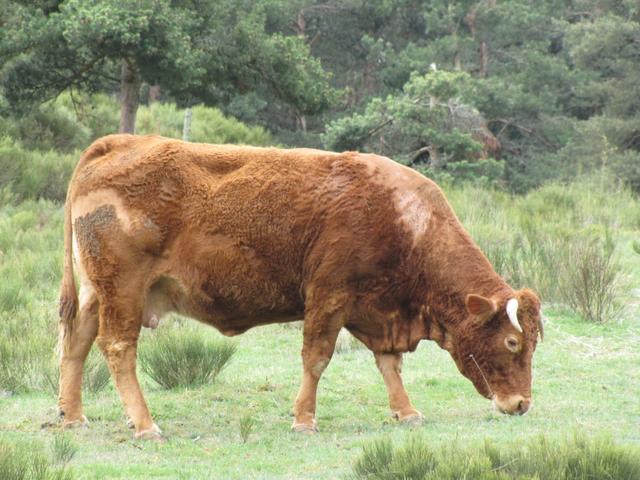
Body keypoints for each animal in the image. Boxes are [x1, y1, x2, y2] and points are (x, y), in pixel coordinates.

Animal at [57, 135, 544, 438]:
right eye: (513, 341)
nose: (521, 404)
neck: (406, 220)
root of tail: (116, 144)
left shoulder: (378, 313)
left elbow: (389, 364)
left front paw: (406, 413)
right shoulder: (329, 297)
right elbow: (317, 357)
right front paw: (304, 420)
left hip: (98, 294)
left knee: (76, 342)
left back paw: (72, 416)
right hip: (124, 291)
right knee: (118, 348)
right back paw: (145, 425)